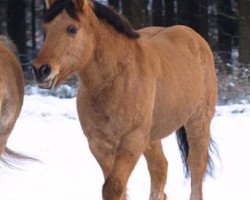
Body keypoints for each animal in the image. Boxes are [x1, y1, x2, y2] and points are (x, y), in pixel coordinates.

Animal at [32, 0, 218, 199]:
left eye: (72, 29)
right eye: (45, 30)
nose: (41, 70)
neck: (116, 79)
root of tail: (195, 38)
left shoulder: (132, 139)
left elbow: (113, 187)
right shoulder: (99, 144)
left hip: (198, 122)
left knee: (196, 167)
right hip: (151, 137)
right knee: (160, 168)